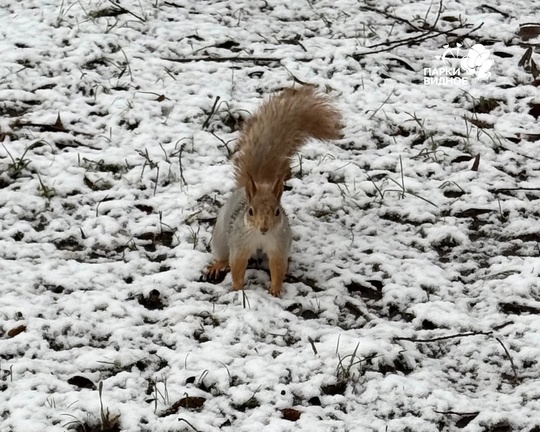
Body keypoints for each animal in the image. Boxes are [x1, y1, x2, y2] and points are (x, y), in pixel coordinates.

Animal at [207, 88, 342, 296]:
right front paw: (238, 288)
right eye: (250, 211)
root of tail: (260, 182)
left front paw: (276, 289)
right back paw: (218, 264)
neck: (260, 237)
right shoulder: (240, 242)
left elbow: (278, 266)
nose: (264, 228)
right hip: (222, 236)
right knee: (223, 253)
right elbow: (237, 264)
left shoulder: (278, 243)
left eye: (277, 211)